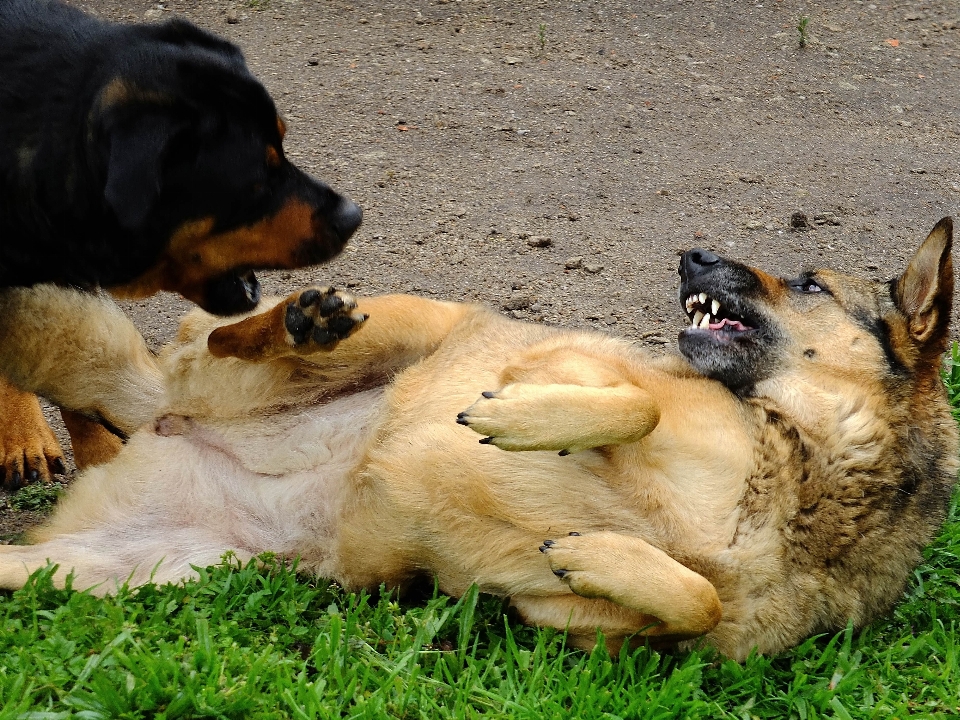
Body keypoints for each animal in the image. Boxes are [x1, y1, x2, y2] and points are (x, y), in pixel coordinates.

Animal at [1, 219, 960, 660]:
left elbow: (698, 600)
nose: (690, 255)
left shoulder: (594, 633)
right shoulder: (576, 358)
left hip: (139, 571)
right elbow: (635, 407)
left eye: (808, 282)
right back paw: (300, 322)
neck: (807, 470)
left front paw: (592, 553)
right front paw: (514, 420)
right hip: (403, 322)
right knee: (233, 337)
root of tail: (163, 416)